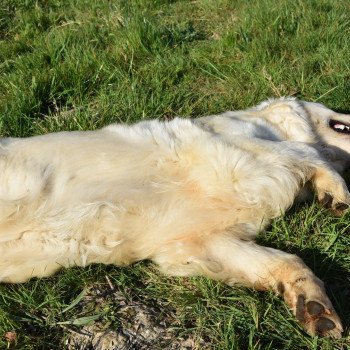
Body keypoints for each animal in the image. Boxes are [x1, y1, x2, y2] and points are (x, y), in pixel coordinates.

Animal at [0, 97, 350, 338]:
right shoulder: (234, 148)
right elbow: (305, 151)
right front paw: (336, 192)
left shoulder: (197, 243)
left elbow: (287, 261)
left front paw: (313, 306)